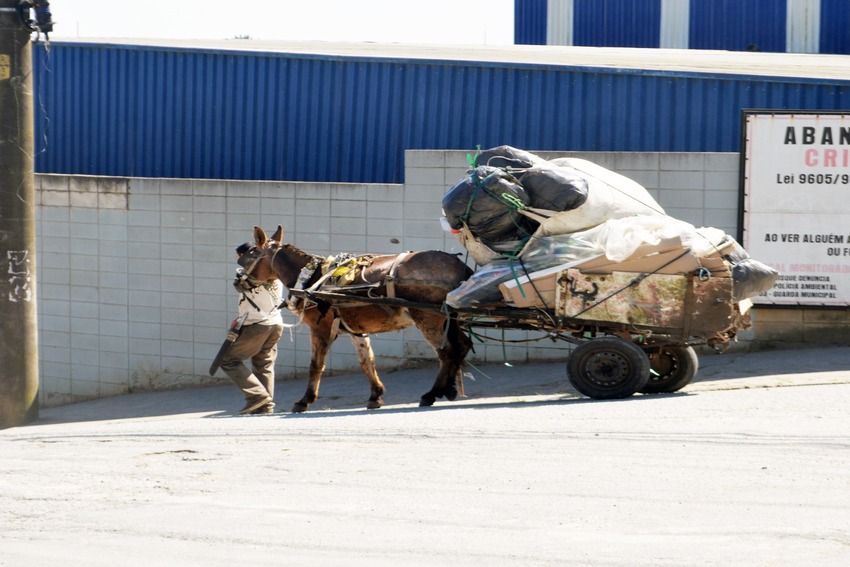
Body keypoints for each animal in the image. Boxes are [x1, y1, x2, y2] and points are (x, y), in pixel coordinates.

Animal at [238, 224, 474, 414]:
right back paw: (448, 388)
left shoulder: (321, 329)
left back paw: (432, 393)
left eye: (248, 257)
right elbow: (366, 359)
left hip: (428, 318)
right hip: (449, 318)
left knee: (446, 353)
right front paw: (375, 395)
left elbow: (316, 365)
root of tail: (459, 266)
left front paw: (304, 400)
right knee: (461, 346)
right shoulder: (355, 329)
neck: (312, 278)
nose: (239, 281)